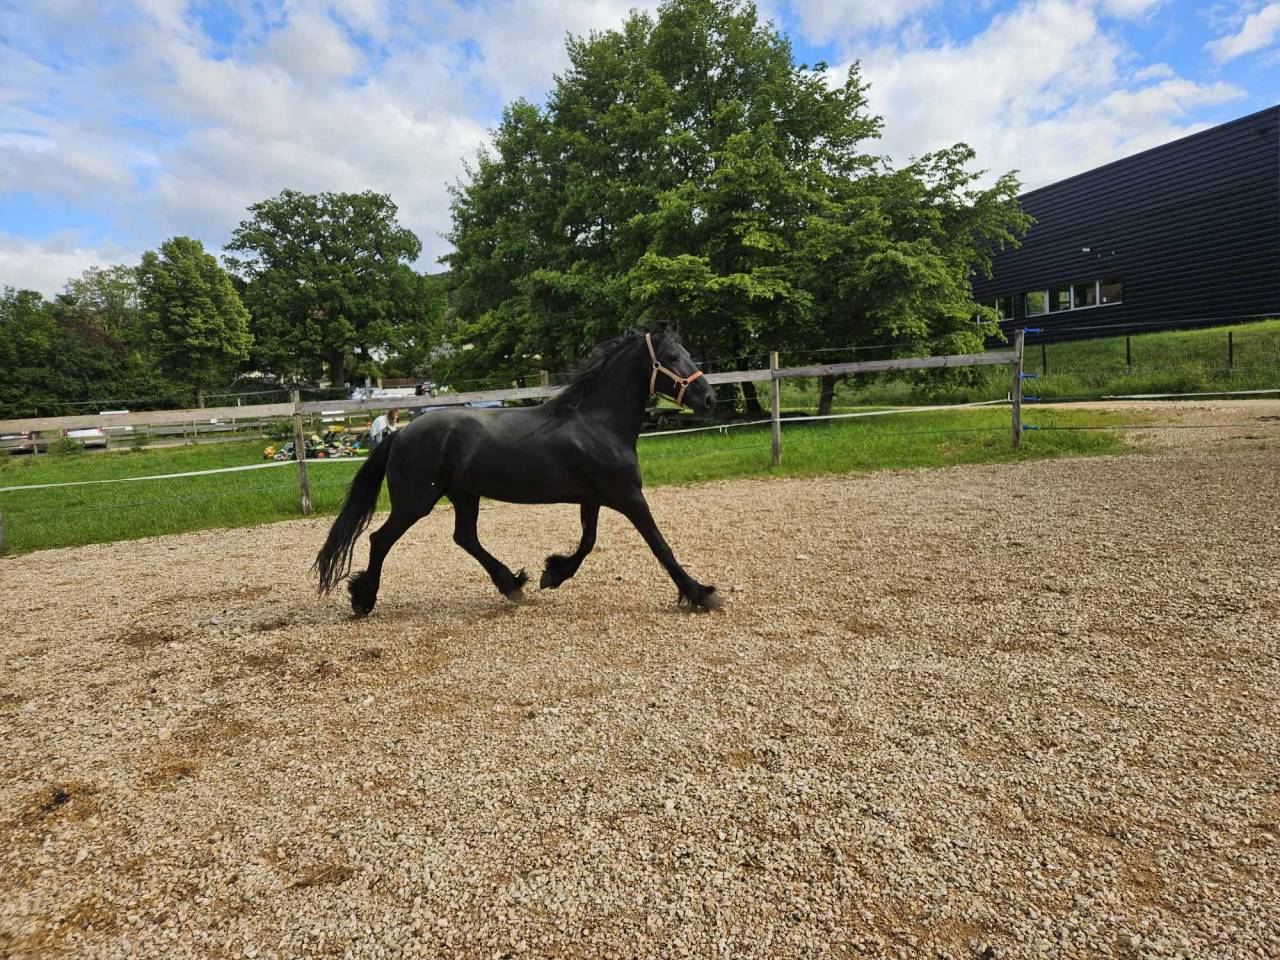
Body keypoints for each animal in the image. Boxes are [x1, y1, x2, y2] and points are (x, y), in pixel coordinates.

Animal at [313, 326, 724, 614]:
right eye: (672, 357)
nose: (710, 399)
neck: (598, 423)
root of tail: (399, 434)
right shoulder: (629, 496)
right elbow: (659, 545)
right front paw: (701, 594)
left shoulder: (594, 498)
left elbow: (588, 542)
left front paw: (552, 574)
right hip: (416, 502)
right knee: (380, 539)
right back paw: (363, 600)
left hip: (464, 495)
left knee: (465, 537)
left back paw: (512, 585)